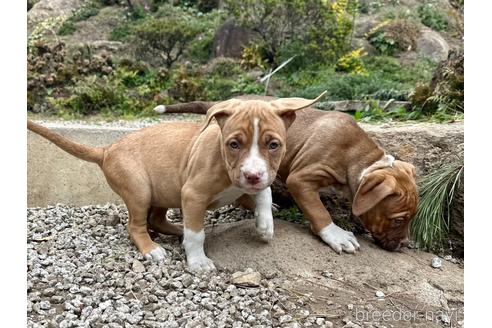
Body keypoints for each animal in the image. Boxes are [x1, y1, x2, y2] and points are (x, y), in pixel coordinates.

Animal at [28, 93, 324, 272]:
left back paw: (176, 230)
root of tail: (107, 149)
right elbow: (197, 234)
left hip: (164, 190)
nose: (252, 175)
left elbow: (264, 193)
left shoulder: (255, 180)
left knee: (156, 220)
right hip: (140, 191)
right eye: (234, 144)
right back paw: (152, 249)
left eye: (274, 145)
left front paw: (265, 226)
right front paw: (198, 261)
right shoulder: (192, 194)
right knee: (137, 225)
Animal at [156, 96, 418, 252]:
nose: (405, 244)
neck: (358, 156)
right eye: (398, 219)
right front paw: (335, 234)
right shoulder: (301, 179)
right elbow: (319, 211)